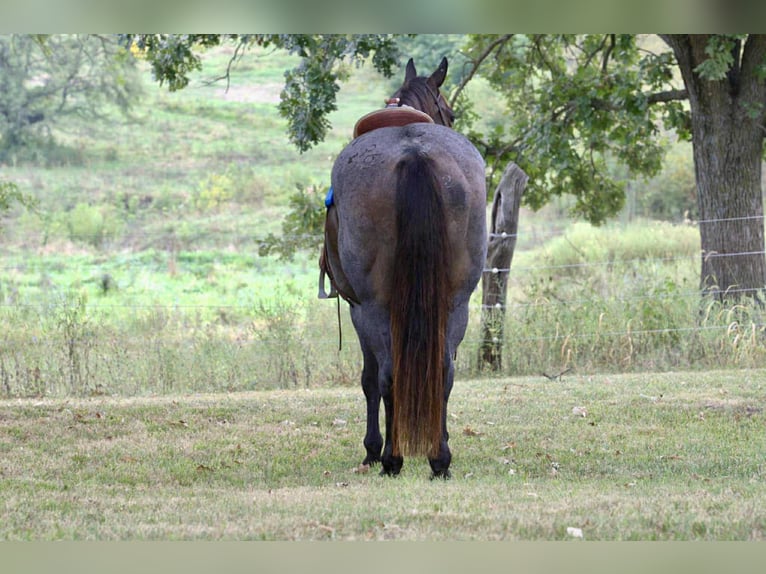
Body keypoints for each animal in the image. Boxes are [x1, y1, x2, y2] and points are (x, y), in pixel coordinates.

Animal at [320, 57, 487, 478]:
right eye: (451, 112)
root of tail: (414, 152)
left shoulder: (358, 309)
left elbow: (368, 380)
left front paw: (371, 448)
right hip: (455, 302)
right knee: (443, 371)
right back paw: (439, 458)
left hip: (377, 307)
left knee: (388, 374)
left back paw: (392, 458)